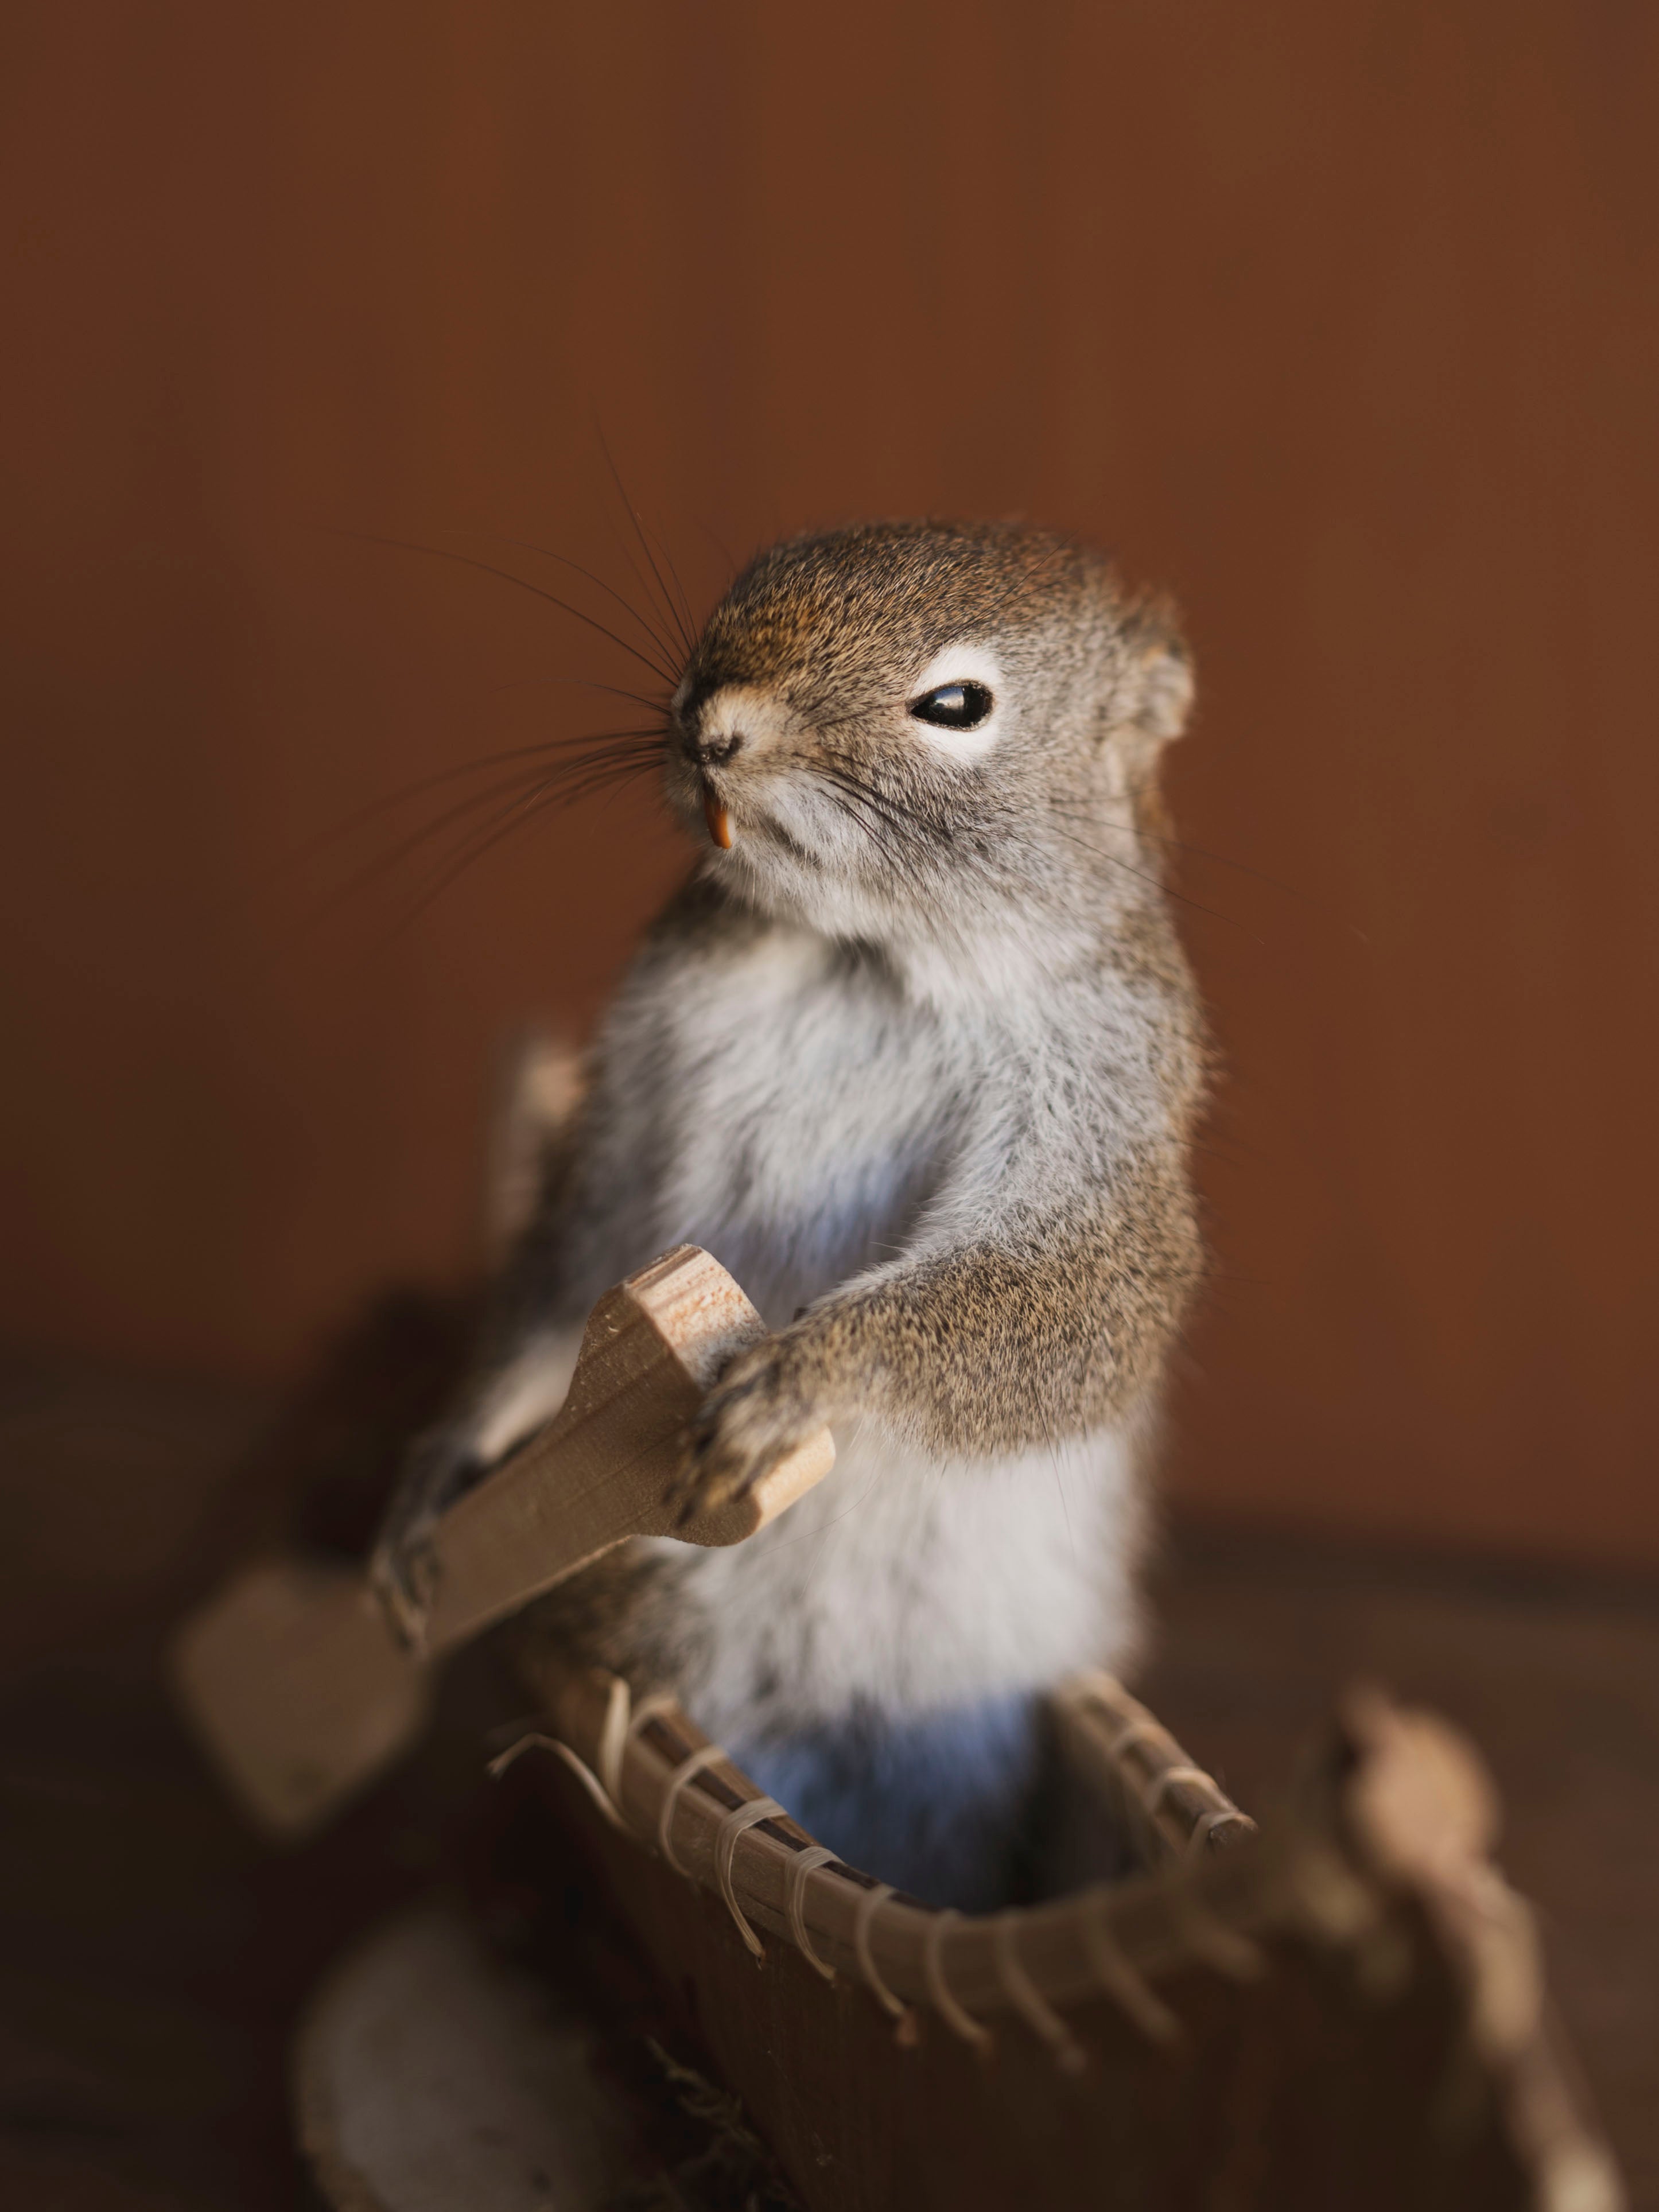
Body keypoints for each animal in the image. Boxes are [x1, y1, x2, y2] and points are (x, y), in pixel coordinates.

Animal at [370, 520, 1207, 1909]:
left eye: (958, 705)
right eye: (752, 577)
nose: (710, 724)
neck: (859, 957)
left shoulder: (1109, 1096)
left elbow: (1071, 1310)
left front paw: (803, 1377)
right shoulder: (637, 1086)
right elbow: (575, 1264)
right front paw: (446, 1461)